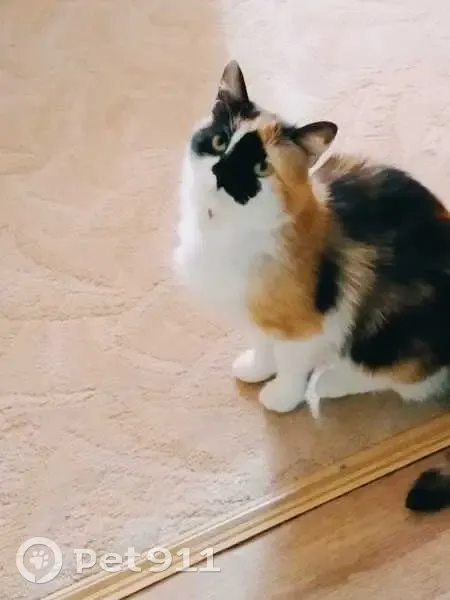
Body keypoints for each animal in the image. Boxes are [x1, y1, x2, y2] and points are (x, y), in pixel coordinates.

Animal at [174, 59, 450, 415]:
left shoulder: (305, 325)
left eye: (262, 167)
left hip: (391, 327)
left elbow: (291, 363)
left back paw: (330, 381)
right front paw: (257, 369)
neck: (223, 231)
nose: (222, 174)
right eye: (221, 142)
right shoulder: (257, 309)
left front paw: (282, 397)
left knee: (408, 377)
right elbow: (262, 343)